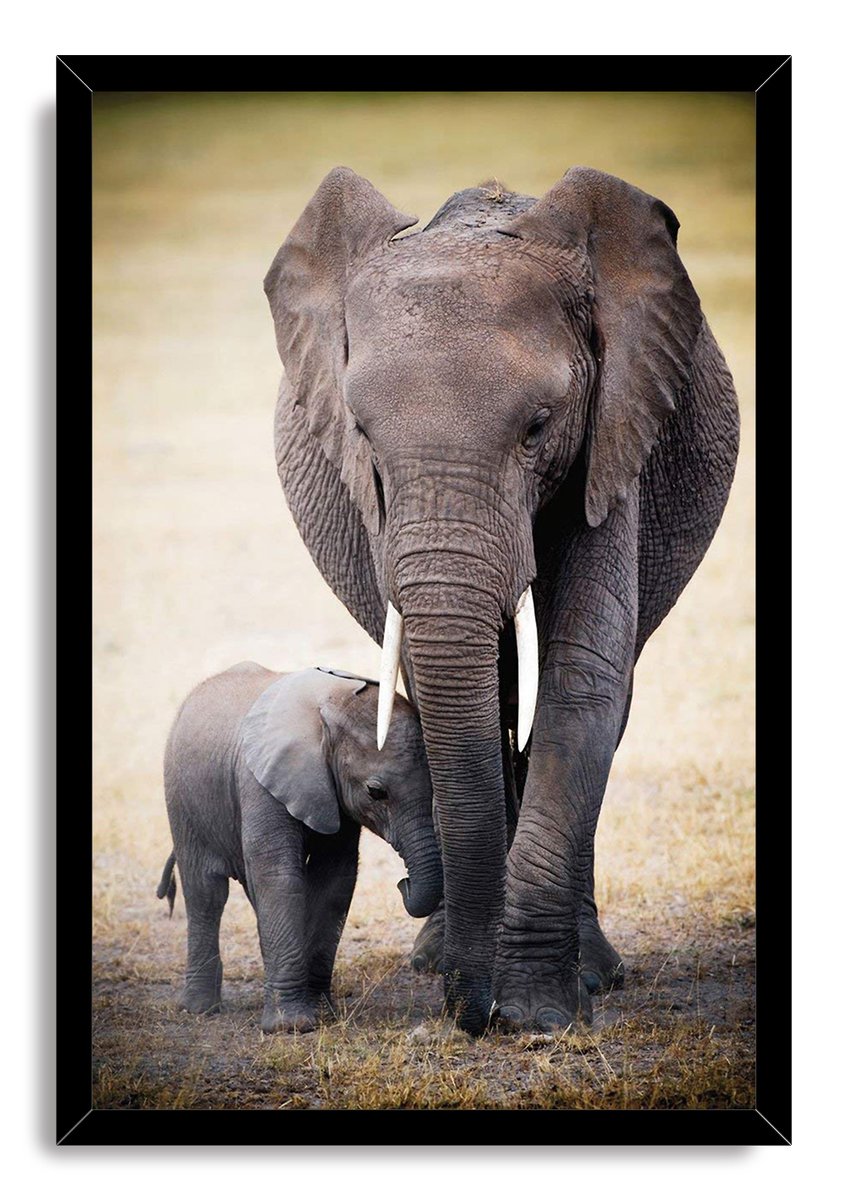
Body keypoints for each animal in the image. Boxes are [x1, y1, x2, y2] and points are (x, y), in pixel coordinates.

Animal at [158, 663, 442, 1033]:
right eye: (376, 792)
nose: (403, 883)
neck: (329, 708)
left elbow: (334, 879)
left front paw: (322, 1013)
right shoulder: (260, 782)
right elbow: (279, 876)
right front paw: (290, 1026)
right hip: (182, 800)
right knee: (205, 892)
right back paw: (200, 1009)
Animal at [264, 166, 740, 1035]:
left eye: (538, 427)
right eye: (361, 433)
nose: (469, 1011)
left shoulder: (613, 431)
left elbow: (581, 679)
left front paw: (540, 1014)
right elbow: (452, 691)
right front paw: (488, 989)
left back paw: (591, 973)